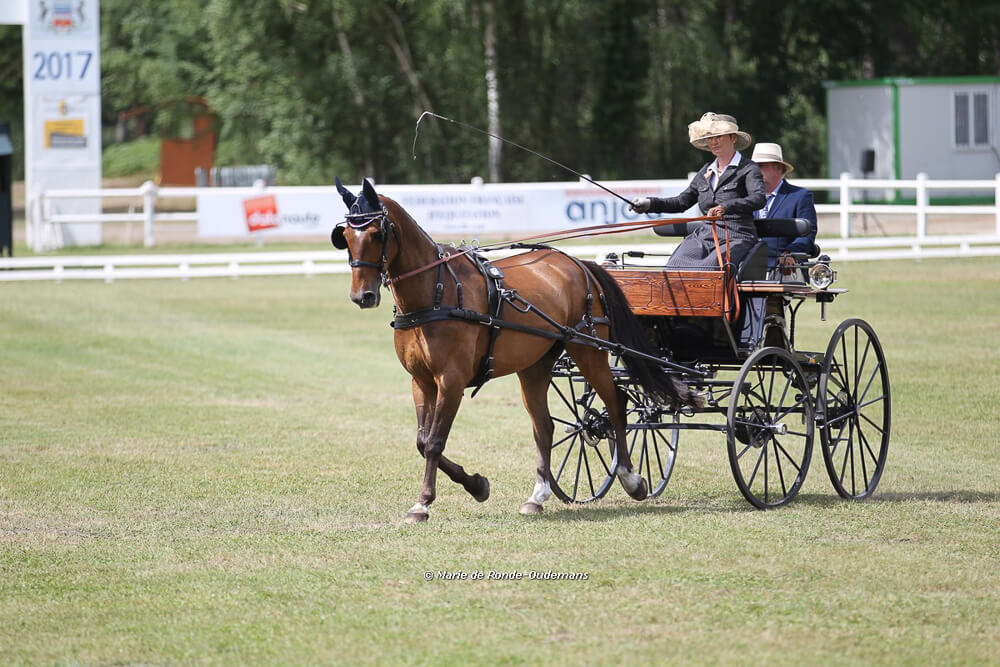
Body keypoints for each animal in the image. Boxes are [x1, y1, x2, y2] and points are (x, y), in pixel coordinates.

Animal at [332, 180, 692, 524]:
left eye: (377, 233)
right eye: (346, 235)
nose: (362, 296)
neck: (436, 292)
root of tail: (579, 264)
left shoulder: (451, 380)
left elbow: (434, 442)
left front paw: (423, 504)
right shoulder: (420, 381)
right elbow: (422, 442)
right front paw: (477, 485)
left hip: (588, 351)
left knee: (616, 403)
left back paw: (632, 480)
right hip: (536, 366)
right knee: (544, 427)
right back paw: (538, 496)